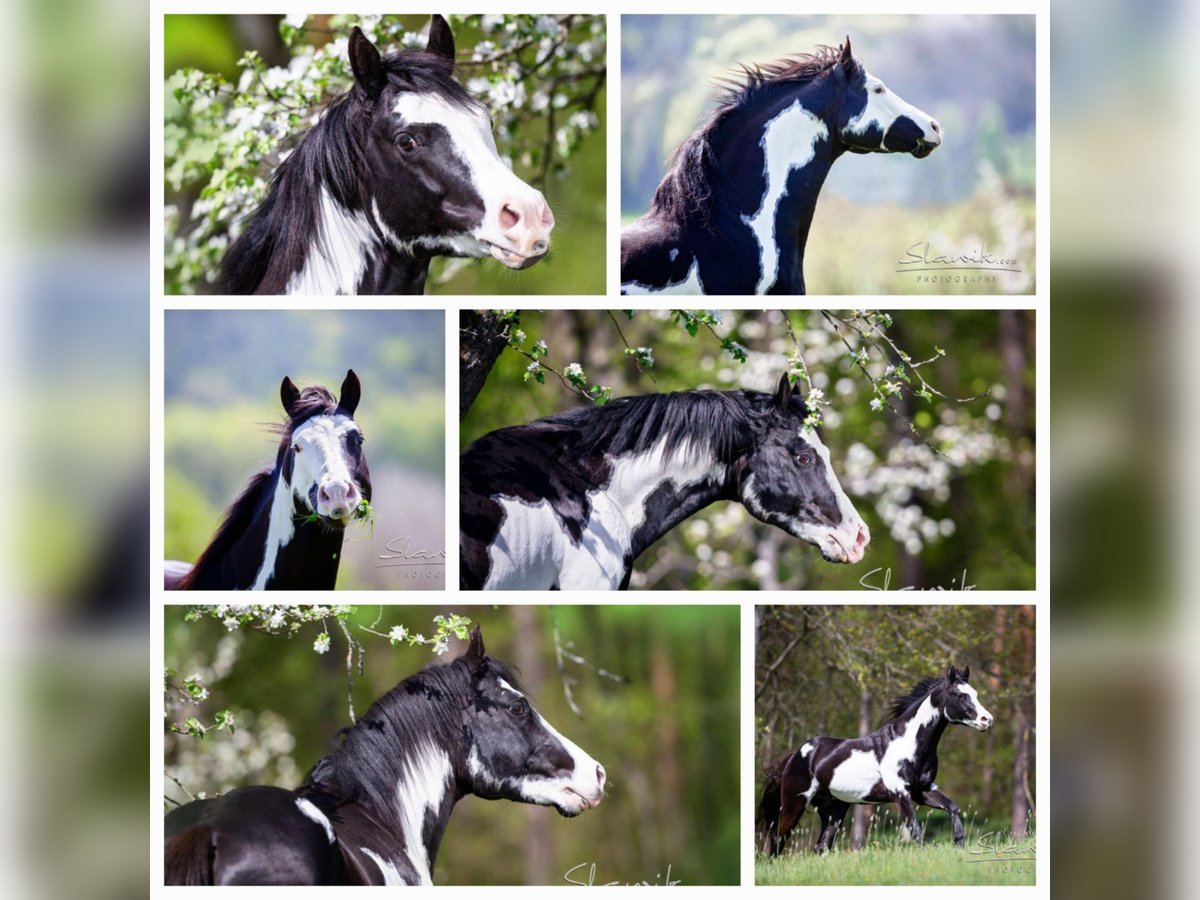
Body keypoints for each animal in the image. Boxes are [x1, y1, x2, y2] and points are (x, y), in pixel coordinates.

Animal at [756, 666, 993, 857]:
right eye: (959, 695)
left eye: (975, 693)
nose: (987, 720)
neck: (908, 743)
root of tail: (797, 754)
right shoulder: (901, 793)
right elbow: (916, 829)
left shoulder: (922, 790)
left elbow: (953, 808)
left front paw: (959, 848)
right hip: (795, 803)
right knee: (777, 839)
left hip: (834, 809)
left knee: (821, 845)